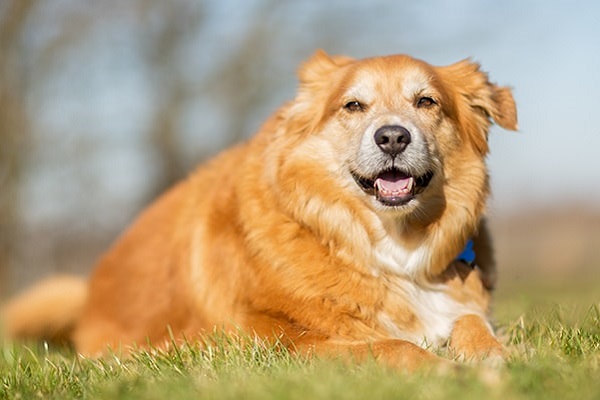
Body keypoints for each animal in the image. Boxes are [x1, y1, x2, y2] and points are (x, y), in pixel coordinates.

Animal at [2, 50, 516, 372]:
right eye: (353, 105)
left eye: (427, 101)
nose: (392, 136)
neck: (391, 244)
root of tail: (90, 292)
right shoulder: (272, 341)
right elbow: (391, 346)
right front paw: (449, 370)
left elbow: (471, 320)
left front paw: (493, 354)